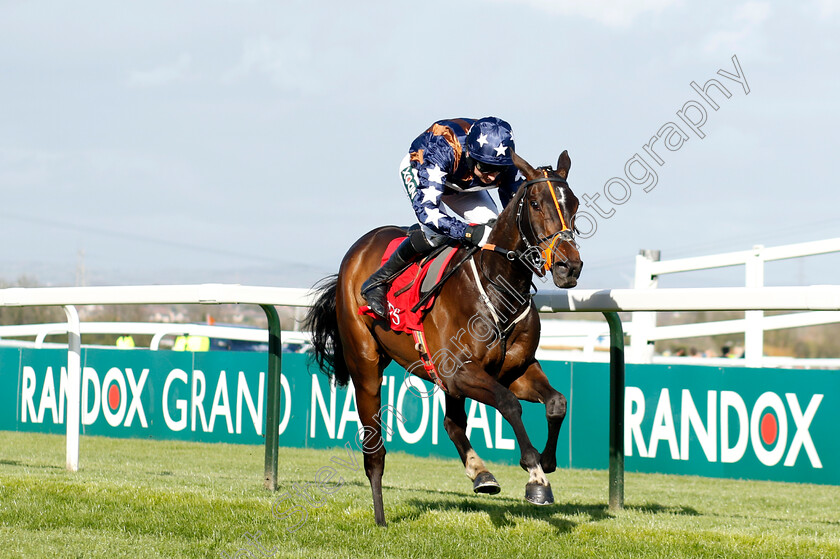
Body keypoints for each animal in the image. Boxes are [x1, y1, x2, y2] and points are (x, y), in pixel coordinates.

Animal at [304, 151, 584, 528]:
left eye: (575, 205)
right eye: (537, 204)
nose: (570, 266)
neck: (497, 288)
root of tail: (359, 250)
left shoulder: (515, 370)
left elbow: (557, 402)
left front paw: (547, 461)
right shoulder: (460, 372)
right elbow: (509, 403)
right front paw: (535, 474)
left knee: (452, 422)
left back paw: (481, 473)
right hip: (365, 364)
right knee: (374, 449)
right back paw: (380, 518)